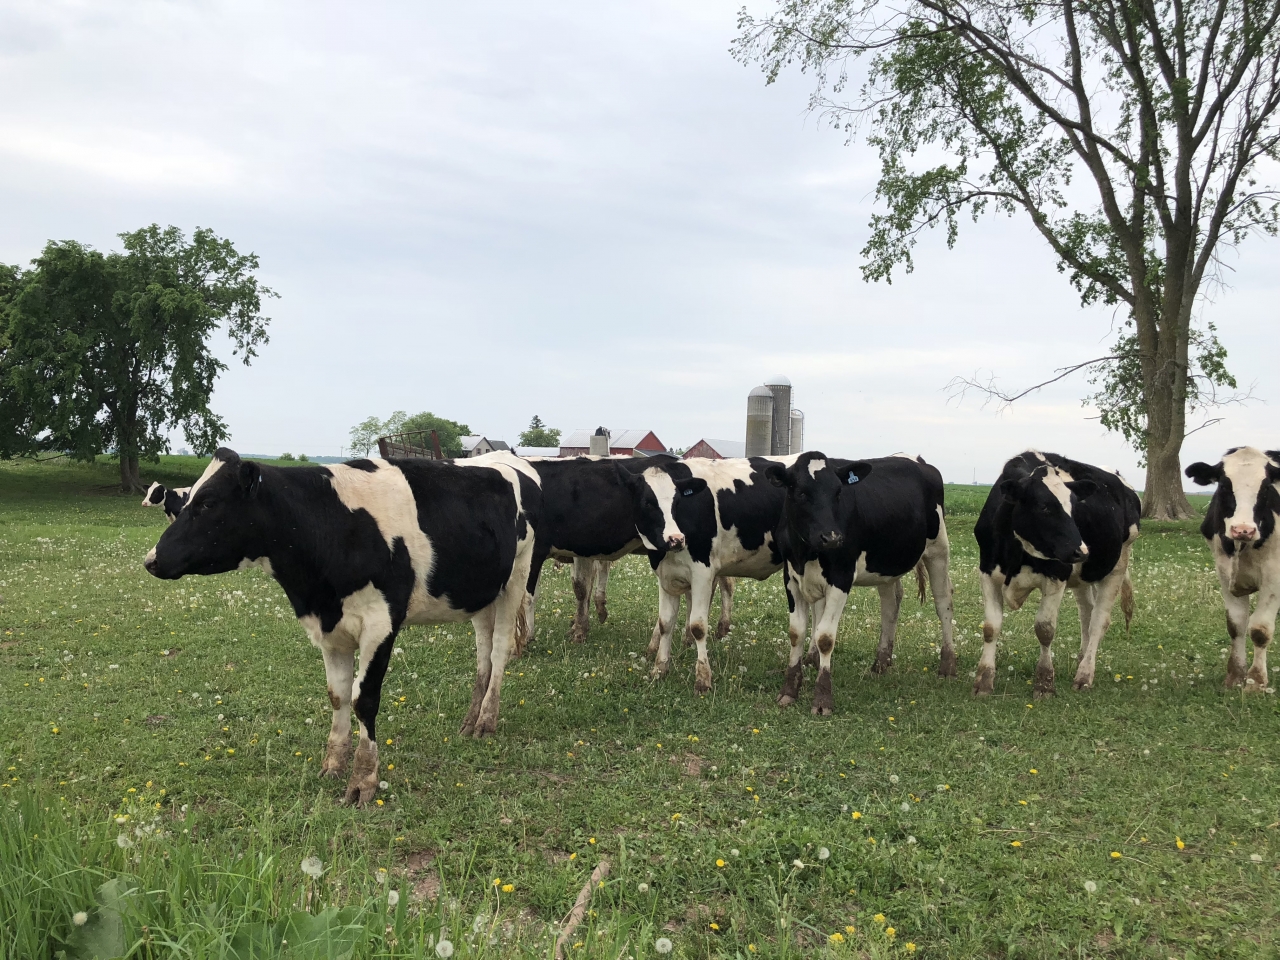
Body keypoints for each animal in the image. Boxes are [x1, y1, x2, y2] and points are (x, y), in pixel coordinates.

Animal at [144, 450, 535, 803]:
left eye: (209, 503)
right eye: (187, 499)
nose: (151, 560)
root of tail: (502, 460)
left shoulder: (381, 624)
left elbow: (365, 699)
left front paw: (363, 779)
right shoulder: (329, 630)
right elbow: (337, 695)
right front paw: (333, 764)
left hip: (516, 577)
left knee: (499, 650)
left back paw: (486, 721)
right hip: (481, 594)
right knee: (483, 653)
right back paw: (470, 720)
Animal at [616, 455, 788, 691]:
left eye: (677, 502)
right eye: (647, 503)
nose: (676, 539)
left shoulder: (702, 573)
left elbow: (698, 626)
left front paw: (703, 678)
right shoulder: (665, 576)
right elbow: (665, 623)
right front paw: (659, 670)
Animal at [762, 453, 957, 716]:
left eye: (838, 492)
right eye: (801, 492)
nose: (832, 537)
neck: (807, 553)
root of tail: (914, 458)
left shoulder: (841, 577)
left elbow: (825, 637)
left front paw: (822, 699)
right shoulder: (791, 577)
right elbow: (796, 633)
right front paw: (789, 691)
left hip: (938, 549)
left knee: (944, 603)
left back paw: (947, 666)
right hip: (886, 564)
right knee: (890, 605)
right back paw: (881, 663)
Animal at [972, 450, 1136, 701]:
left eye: (1074, 508)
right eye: (1043, 507)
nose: (1081, 551)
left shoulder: (1056, 577)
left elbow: (1045, 629)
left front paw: (1044, 683)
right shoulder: (988, 572)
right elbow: (991, 628)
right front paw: (984, 681)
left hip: (1117, 565)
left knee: (1098, 621)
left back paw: (1084, 674)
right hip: (1083, 578)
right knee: (1087, 615)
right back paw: (1081, 661)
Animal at [1182, 448, 1274, 686]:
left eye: (1266, 488)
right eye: (1224, 485)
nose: (1243, 530)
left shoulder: (1274, 577)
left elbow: (1260, 629)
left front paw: (1256, 681)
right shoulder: (1224, 573)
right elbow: (1236, 624)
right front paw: (1236, 675)